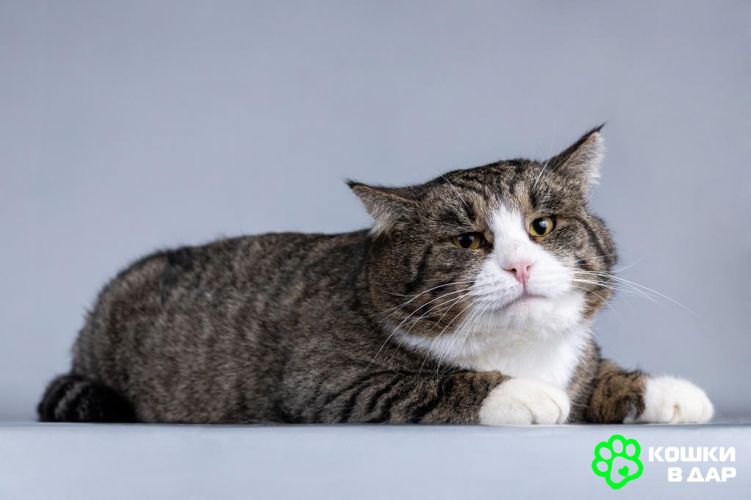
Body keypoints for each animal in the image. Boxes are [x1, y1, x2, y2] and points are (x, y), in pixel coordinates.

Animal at [38, 126, 714, 425]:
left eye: (542, 226)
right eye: (469, 241)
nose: (520, 263)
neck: (518, 349)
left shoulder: (579, 357)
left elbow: (599, 372)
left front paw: (664, 391)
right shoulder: (325, 378)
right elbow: (433, 384)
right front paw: (520, 393)